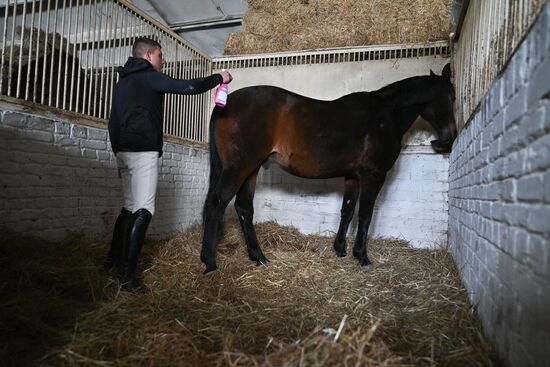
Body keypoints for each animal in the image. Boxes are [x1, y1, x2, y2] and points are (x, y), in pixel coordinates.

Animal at [202, 63, 458, 274]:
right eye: (449, 97)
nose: (449, 138)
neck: (385, 115)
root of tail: (226, 103)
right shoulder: (373, 175)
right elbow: (365, 214)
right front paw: (362, 256)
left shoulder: (353, 177)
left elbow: (347, 211)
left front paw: (340, 249)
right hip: (238, 168)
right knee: (217, 203)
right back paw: (210, 262)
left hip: (251, 169)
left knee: (244, 208)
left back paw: (258, 257)